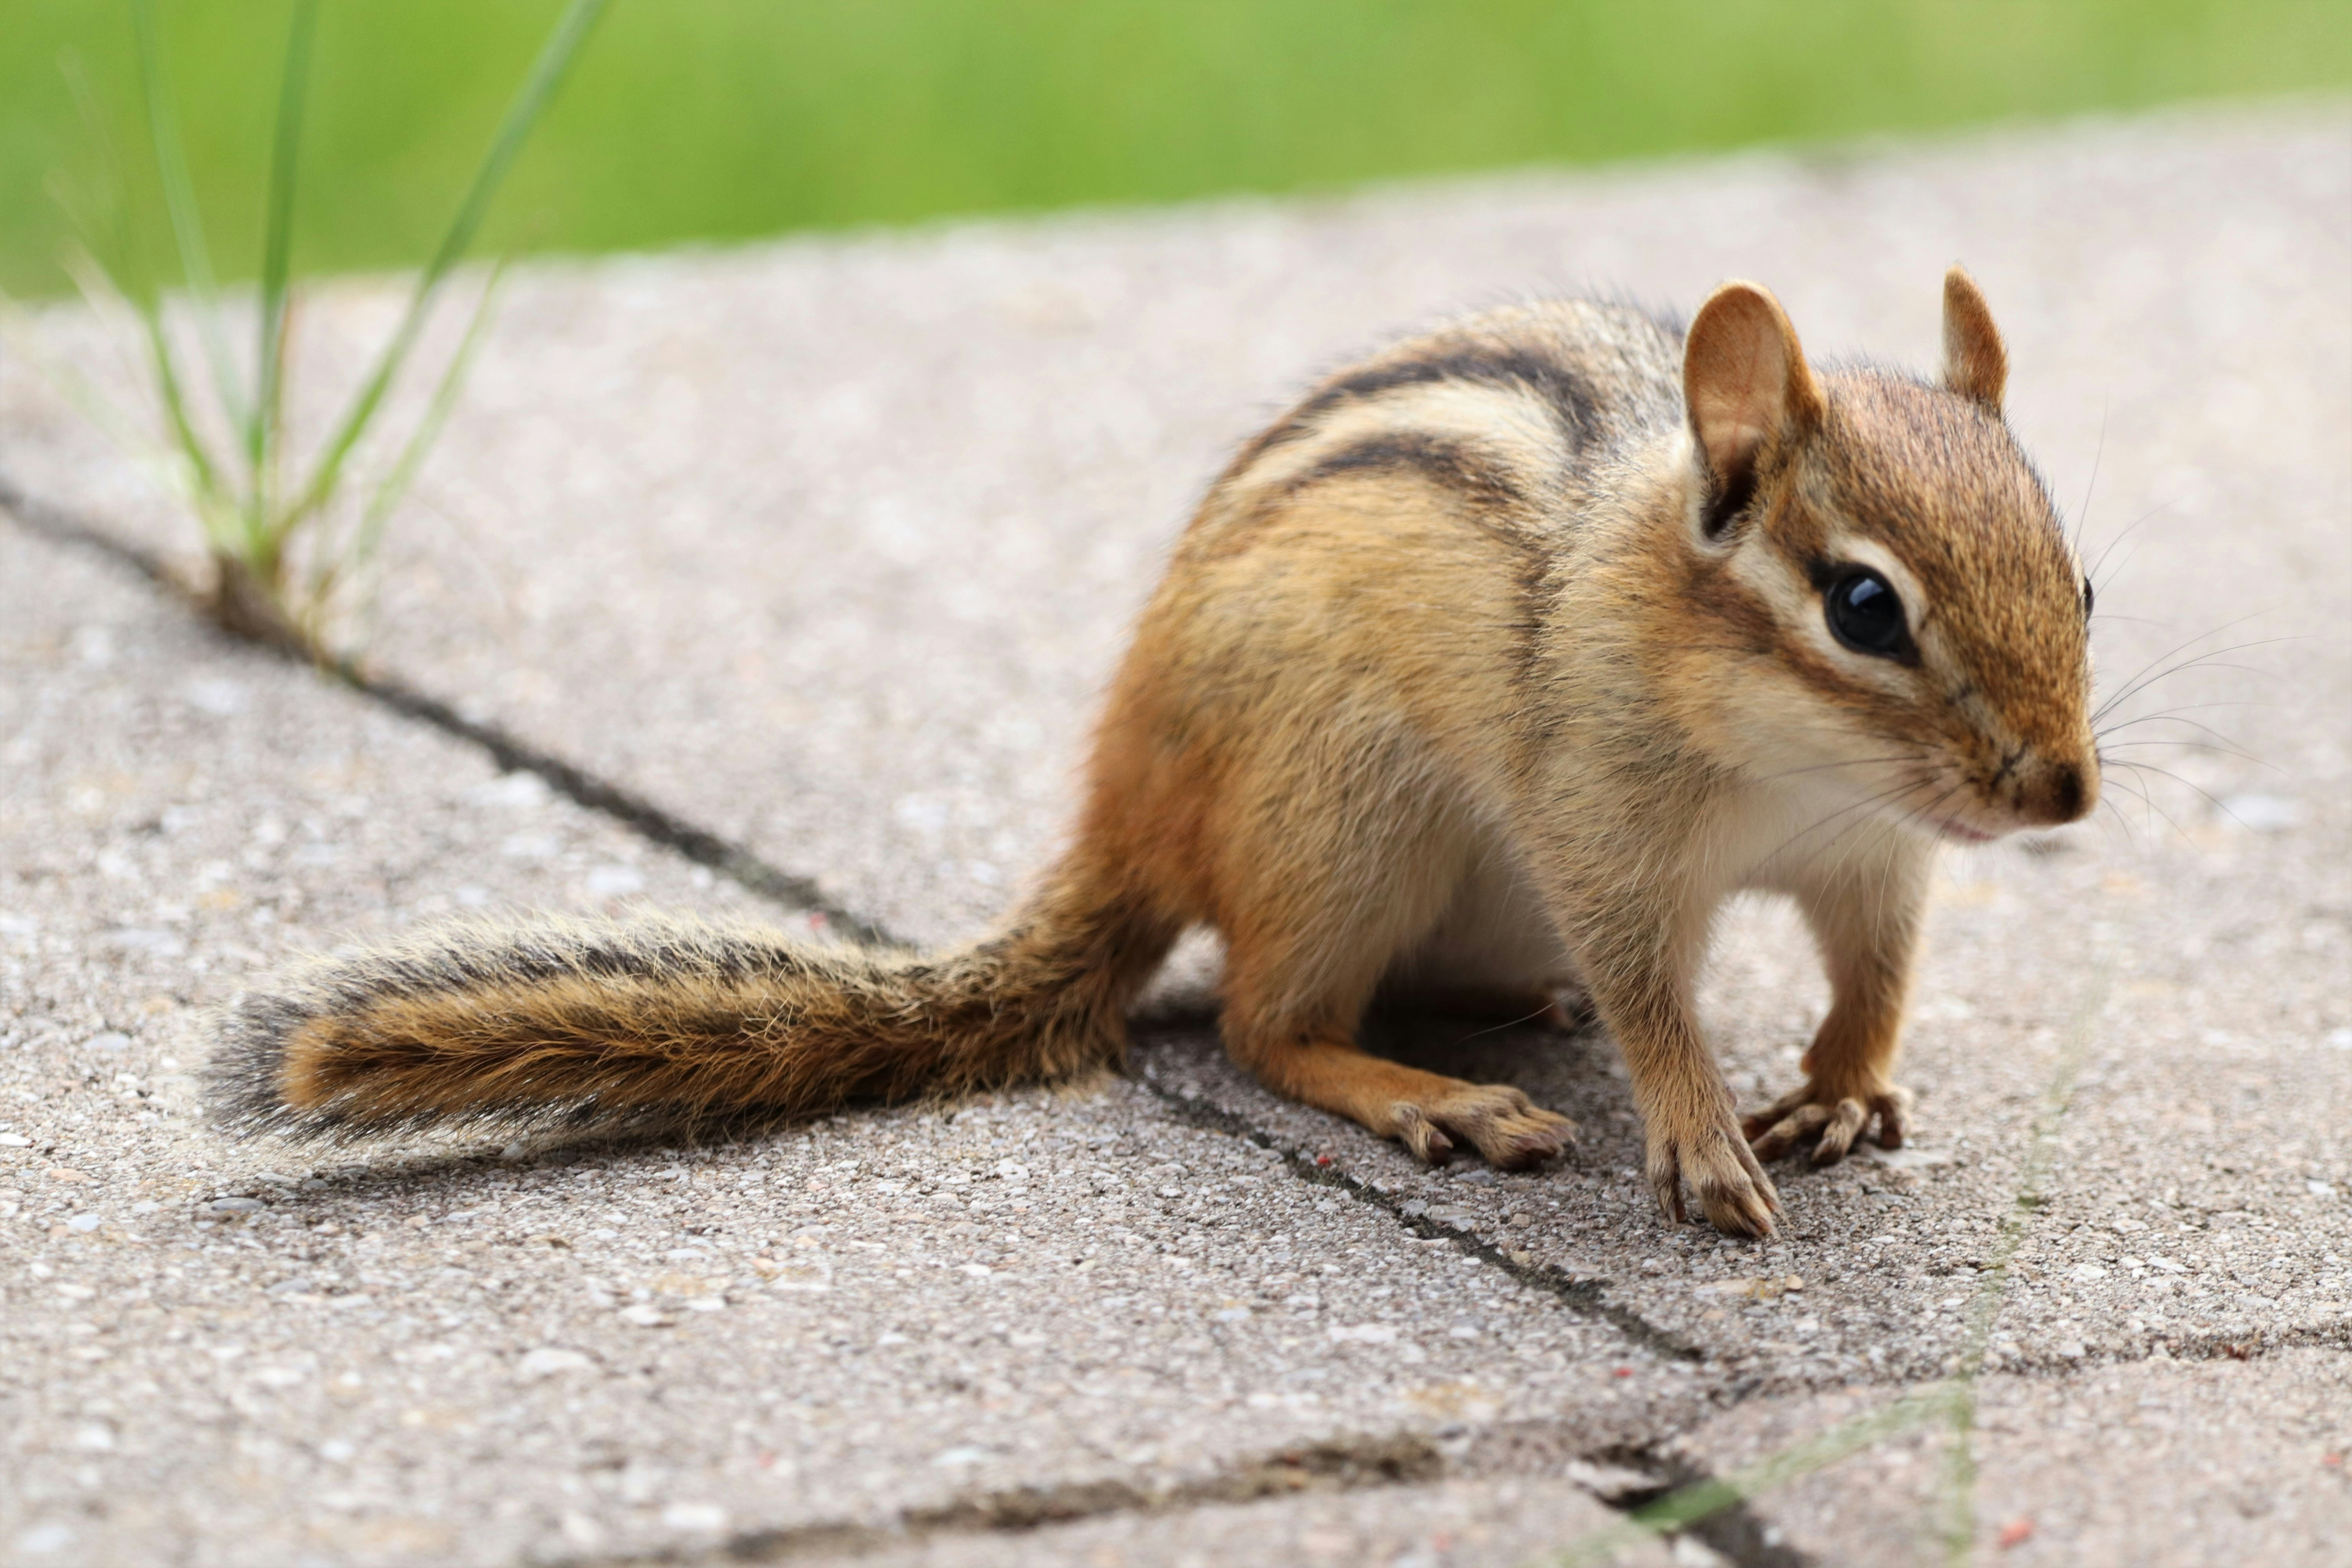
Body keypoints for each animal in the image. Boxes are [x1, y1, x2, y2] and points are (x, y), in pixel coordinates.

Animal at [210, 268, 2097, 1236]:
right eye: (1863, 606)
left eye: (2078, 576)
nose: (2064, 787)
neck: (1803, 771)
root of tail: (1128, 812)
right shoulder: (1601, 830)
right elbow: (1650, 991)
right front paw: (1699, 1130)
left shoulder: (1874, 858)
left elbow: (1874, 975)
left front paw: (1837, 1087)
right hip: (1350, 819)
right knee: (1265, 1024)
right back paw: (1431, 1094)